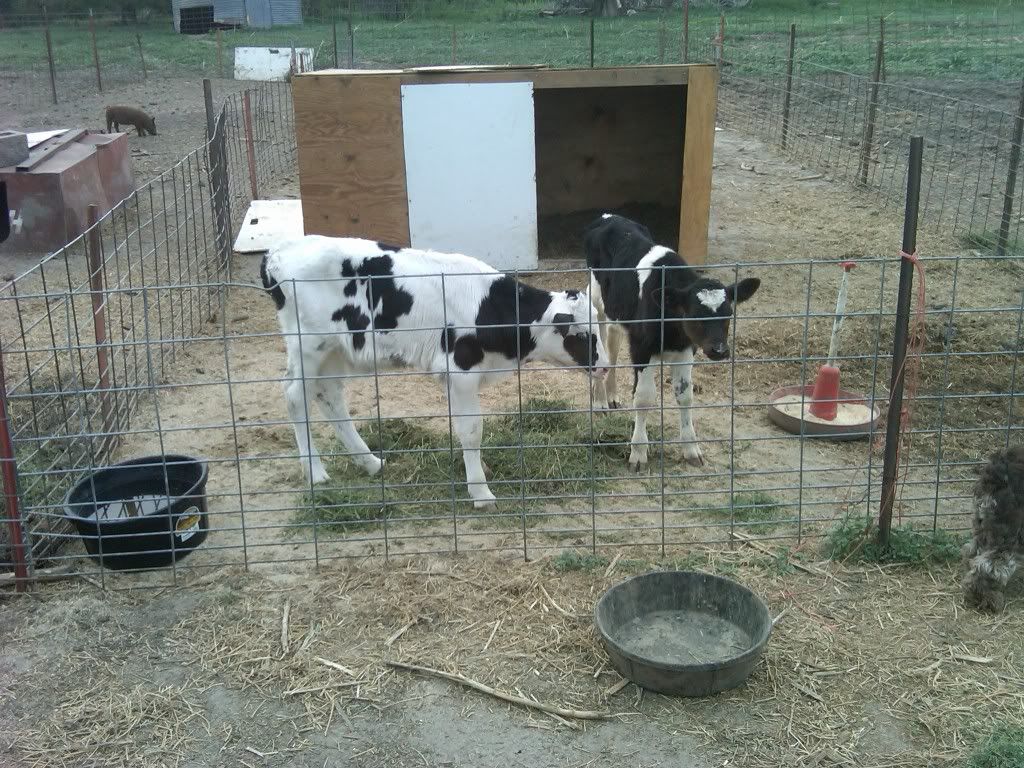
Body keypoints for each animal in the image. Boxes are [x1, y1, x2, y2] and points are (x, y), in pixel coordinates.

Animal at [261, 235, 610, 509]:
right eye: (582, 335)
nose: (605, 367)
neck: (490, 308)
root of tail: (277, 251)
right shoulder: (462, 370)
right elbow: (471, 430)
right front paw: (480, 491)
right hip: (308, 345)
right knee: (295, 396)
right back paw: (316, 473)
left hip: (337, 349)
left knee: (329, 395)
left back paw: (371, 463)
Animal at [584, 214, 760, 471]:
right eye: (694, 315)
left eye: (729, 314)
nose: (719, 350)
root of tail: (608, 216)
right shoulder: (642, 348)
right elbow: (644, 398)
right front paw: (638, 453)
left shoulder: (686, 349)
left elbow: (685, 396)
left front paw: (691, 449)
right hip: (596, 299)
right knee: (600, 339)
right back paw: (599, 400)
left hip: (617, 312)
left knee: (614, 344)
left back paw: (612, 395)